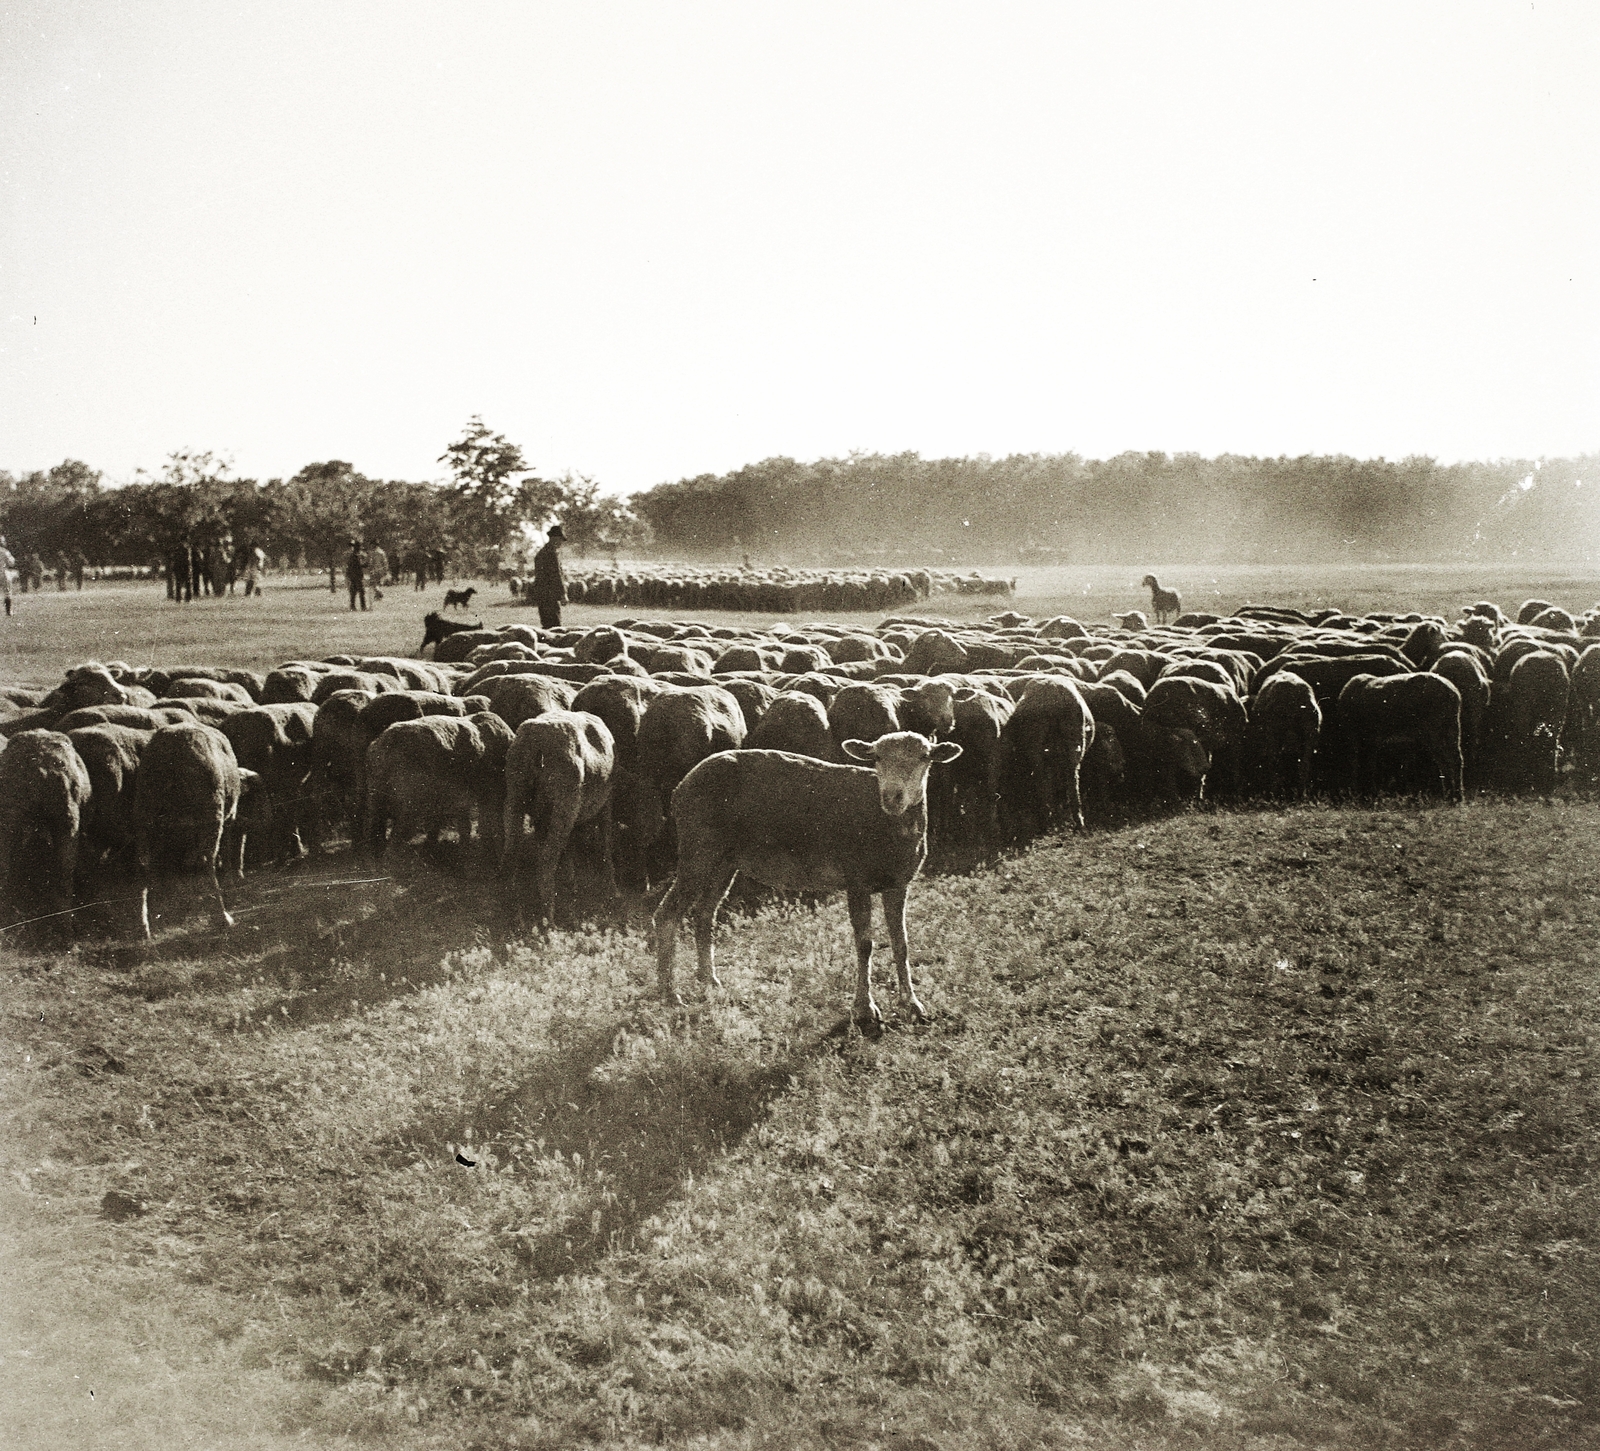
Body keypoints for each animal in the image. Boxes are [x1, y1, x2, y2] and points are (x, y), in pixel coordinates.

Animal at [502, 710, 614, 927]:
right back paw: (548, 921)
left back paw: (516, 917)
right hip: (566, 798)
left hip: (516, 790)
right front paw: (612, 890)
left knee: (511, 853)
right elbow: (605, 840)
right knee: (546, 859)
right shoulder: (604, 803)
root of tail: (536, 742)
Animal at [652, 739, 953, 1023]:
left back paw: (710, 982)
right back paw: (670, 995)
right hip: (699, 847)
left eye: (925, 757)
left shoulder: (899, 882)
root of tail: (680, 789)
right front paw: (865, 1009)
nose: (892, 797)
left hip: (724, 860)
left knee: (705, 914)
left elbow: (901, 943)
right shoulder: (856, 878)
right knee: (667, 914)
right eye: (877, 757)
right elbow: (865, 945)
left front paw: (912, 1005)